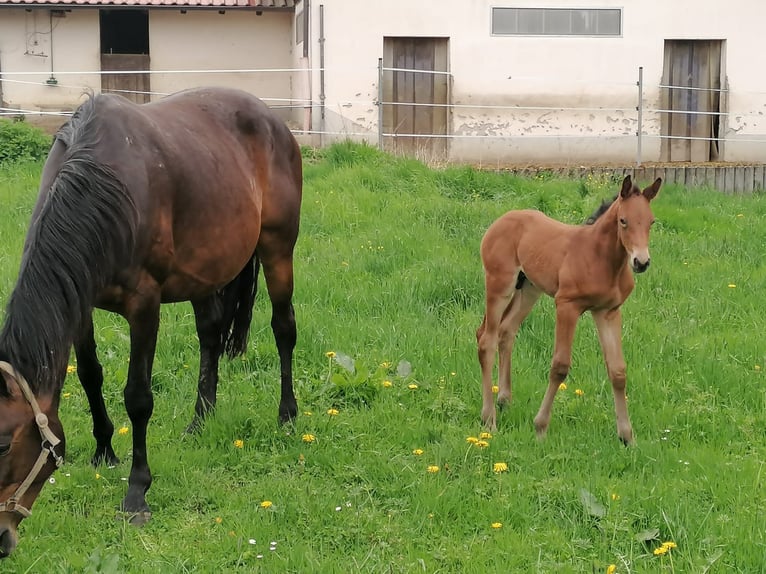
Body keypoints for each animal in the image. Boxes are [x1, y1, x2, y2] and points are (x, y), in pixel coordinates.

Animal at [0, 86, 304, 560]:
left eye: (2, 444)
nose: (1, 539)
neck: (102, 184)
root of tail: (273, 119)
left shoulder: (145, 305)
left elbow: (138, 398)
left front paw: (136, 494)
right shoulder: (80, 299)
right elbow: (90, 375)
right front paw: (104, 450)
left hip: (278, 247)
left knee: (283, 328)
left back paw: (287, 415)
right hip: (208, 270)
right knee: (210, 337)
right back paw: (200, 420)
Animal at [476, 176, 664, 446]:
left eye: (651, 222)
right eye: (623, 220)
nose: (641, 262)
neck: (601, 258)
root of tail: (500, 220)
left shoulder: (608, 312)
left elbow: (618, 371)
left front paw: (627, 437)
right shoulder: (567, 306)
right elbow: (560, 366)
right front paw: (540, 428)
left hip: (529, 289)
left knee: (506, 330)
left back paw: (504, 399)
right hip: (499, 284)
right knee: (486, 340)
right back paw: (489, 419)